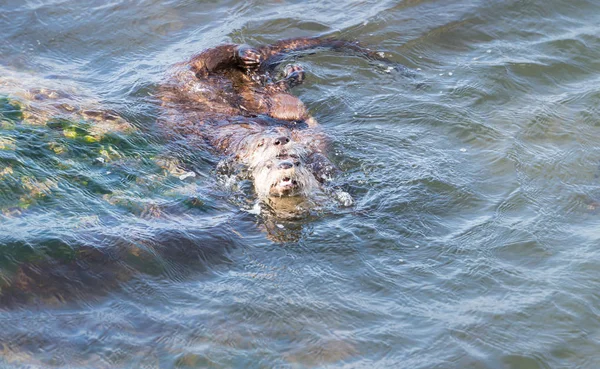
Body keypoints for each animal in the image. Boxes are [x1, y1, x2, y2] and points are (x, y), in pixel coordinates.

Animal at [158, 36, 398, 214]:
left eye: (285, 135)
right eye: (261, 144)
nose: (281, 140)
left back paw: (272, 64)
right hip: (191, 70)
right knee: (216, 55)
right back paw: (273, 65)